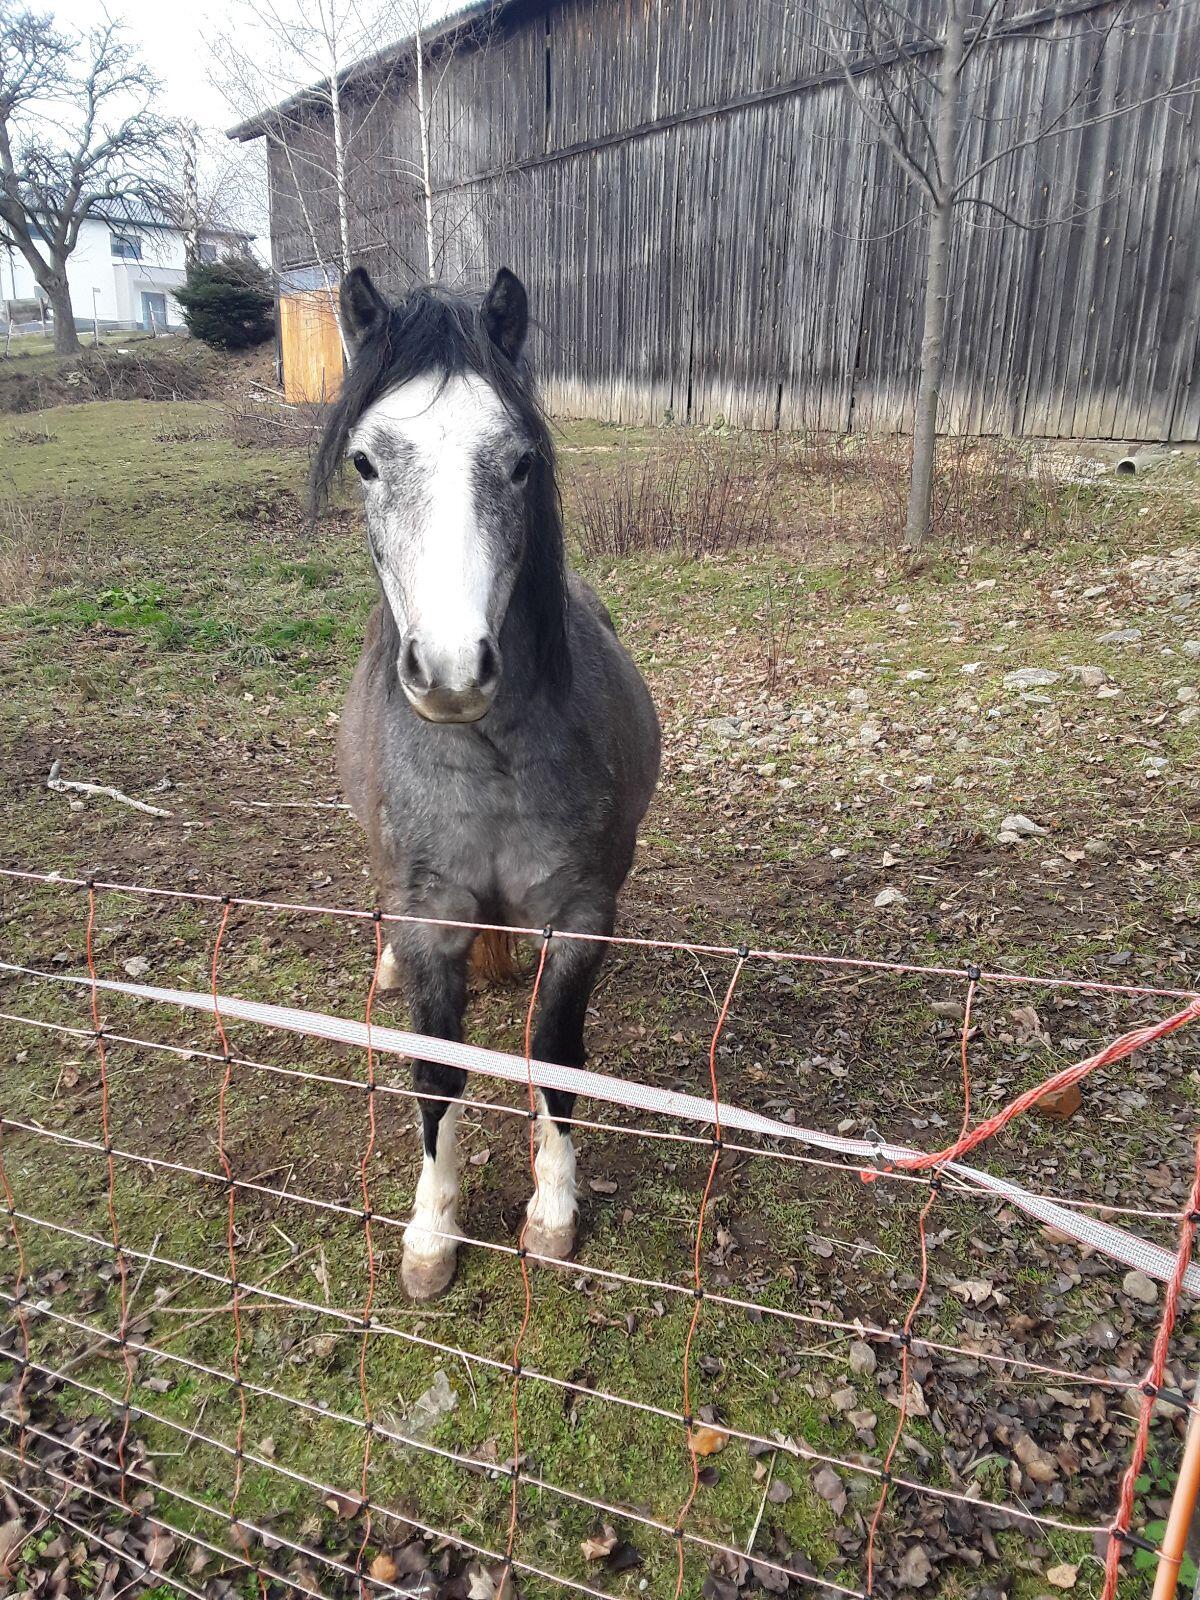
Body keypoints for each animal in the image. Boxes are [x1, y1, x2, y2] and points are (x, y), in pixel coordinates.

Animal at [314, 265, 661, 1301]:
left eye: (518, 464)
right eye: (365, 463)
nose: (454, 668)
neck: (489, 759)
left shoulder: (579, 915)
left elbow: (558, 1058)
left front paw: (553, 1213)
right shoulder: (431, 910)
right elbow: (436, 1070)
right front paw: (431, 1233)